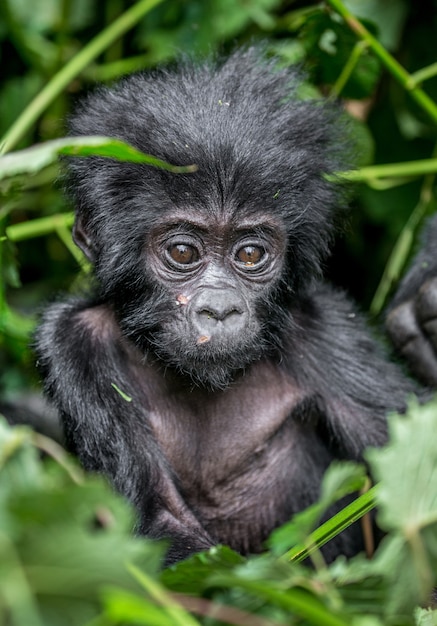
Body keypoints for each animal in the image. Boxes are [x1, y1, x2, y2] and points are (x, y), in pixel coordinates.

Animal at [35, 47, 436, 560]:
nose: (221, 310)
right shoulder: (71, 342)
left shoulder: (326, 331)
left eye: (249, 254)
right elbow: (159, 527)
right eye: (183, 252)